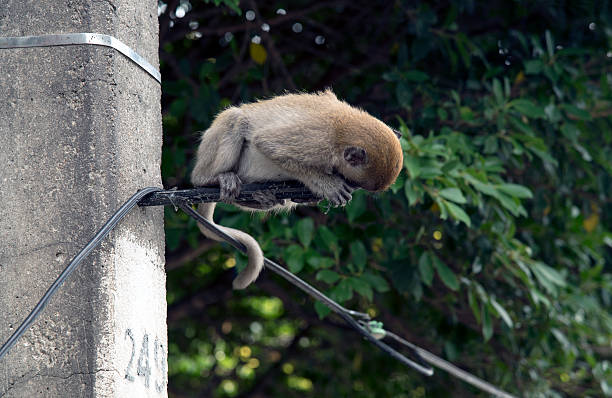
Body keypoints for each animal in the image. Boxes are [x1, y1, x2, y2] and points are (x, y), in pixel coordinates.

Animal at [191, 90, 402, 290]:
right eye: (353, 182)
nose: (351, 187)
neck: (341, 129)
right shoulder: (317, 142)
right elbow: (268, 145)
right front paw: (325, 184)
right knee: (236, 119)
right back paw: (212, 179)